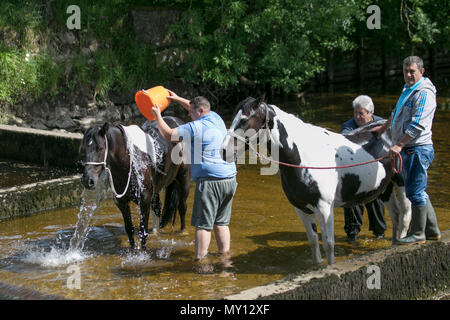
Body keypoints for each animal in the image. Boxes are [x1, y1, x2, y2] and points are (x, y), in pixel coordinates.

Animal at [221, 97, 412, 264]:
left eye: (244, 120)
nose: (223, 151)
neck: (304, 156)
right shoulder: (301, 208)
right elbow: (313, 241)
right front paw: (318, 266)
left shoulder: (325, 207)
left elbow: (329, 244)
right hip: (385, 188)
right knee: (395, 215)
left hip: (402, 183)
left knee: (405, 214)